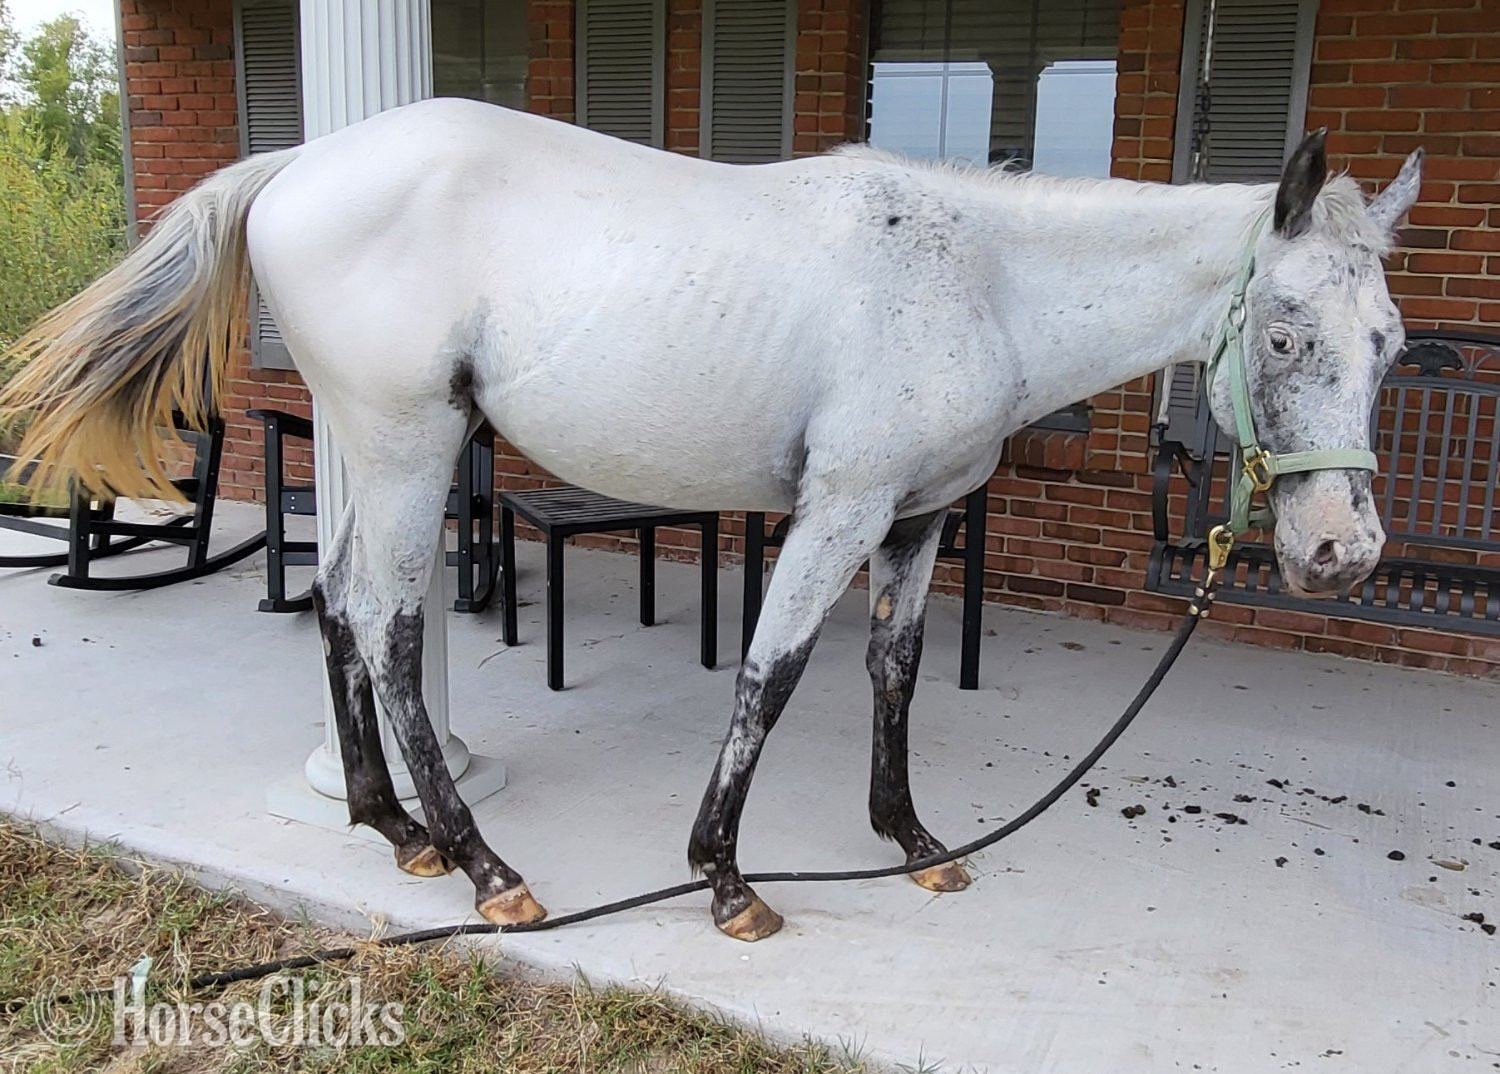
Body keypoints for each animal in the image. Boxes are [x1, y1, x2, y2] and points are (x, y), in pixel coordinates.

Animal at [0, 100, 1421, 941]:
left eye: (1392, 344)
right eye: (1285, 333)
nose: (1340, 554)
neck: (975, 277)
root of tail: (300, 163)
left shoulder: (916, 521)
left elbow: (894, 672)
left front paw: (913, 843)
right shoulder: (841, 511)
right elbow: (770, 674)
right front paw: (727, 878)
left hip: (370, 453)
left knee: (345, 610)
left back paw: (395, 831)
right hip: (407, 451)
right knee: (395, 631)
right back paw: (484, 867)